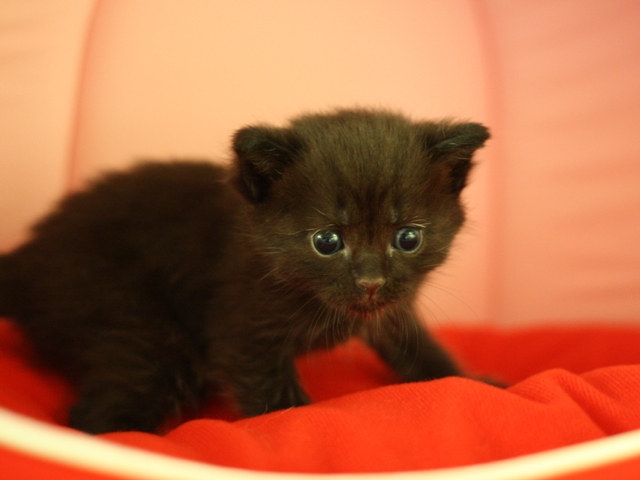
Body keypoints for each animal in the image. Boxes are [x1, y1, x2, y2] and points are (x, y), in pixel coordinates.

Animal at [0, 109, 490, 436]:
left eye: (407, 238)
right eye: (327, 242)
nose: (371, 283)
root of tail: (25, 257)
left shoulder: (392, 311)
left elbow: (420, 348)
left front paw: (478, 382)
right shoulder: (243, 332)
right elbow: (280, 404)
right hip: (138, 329)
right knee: (94, 416)